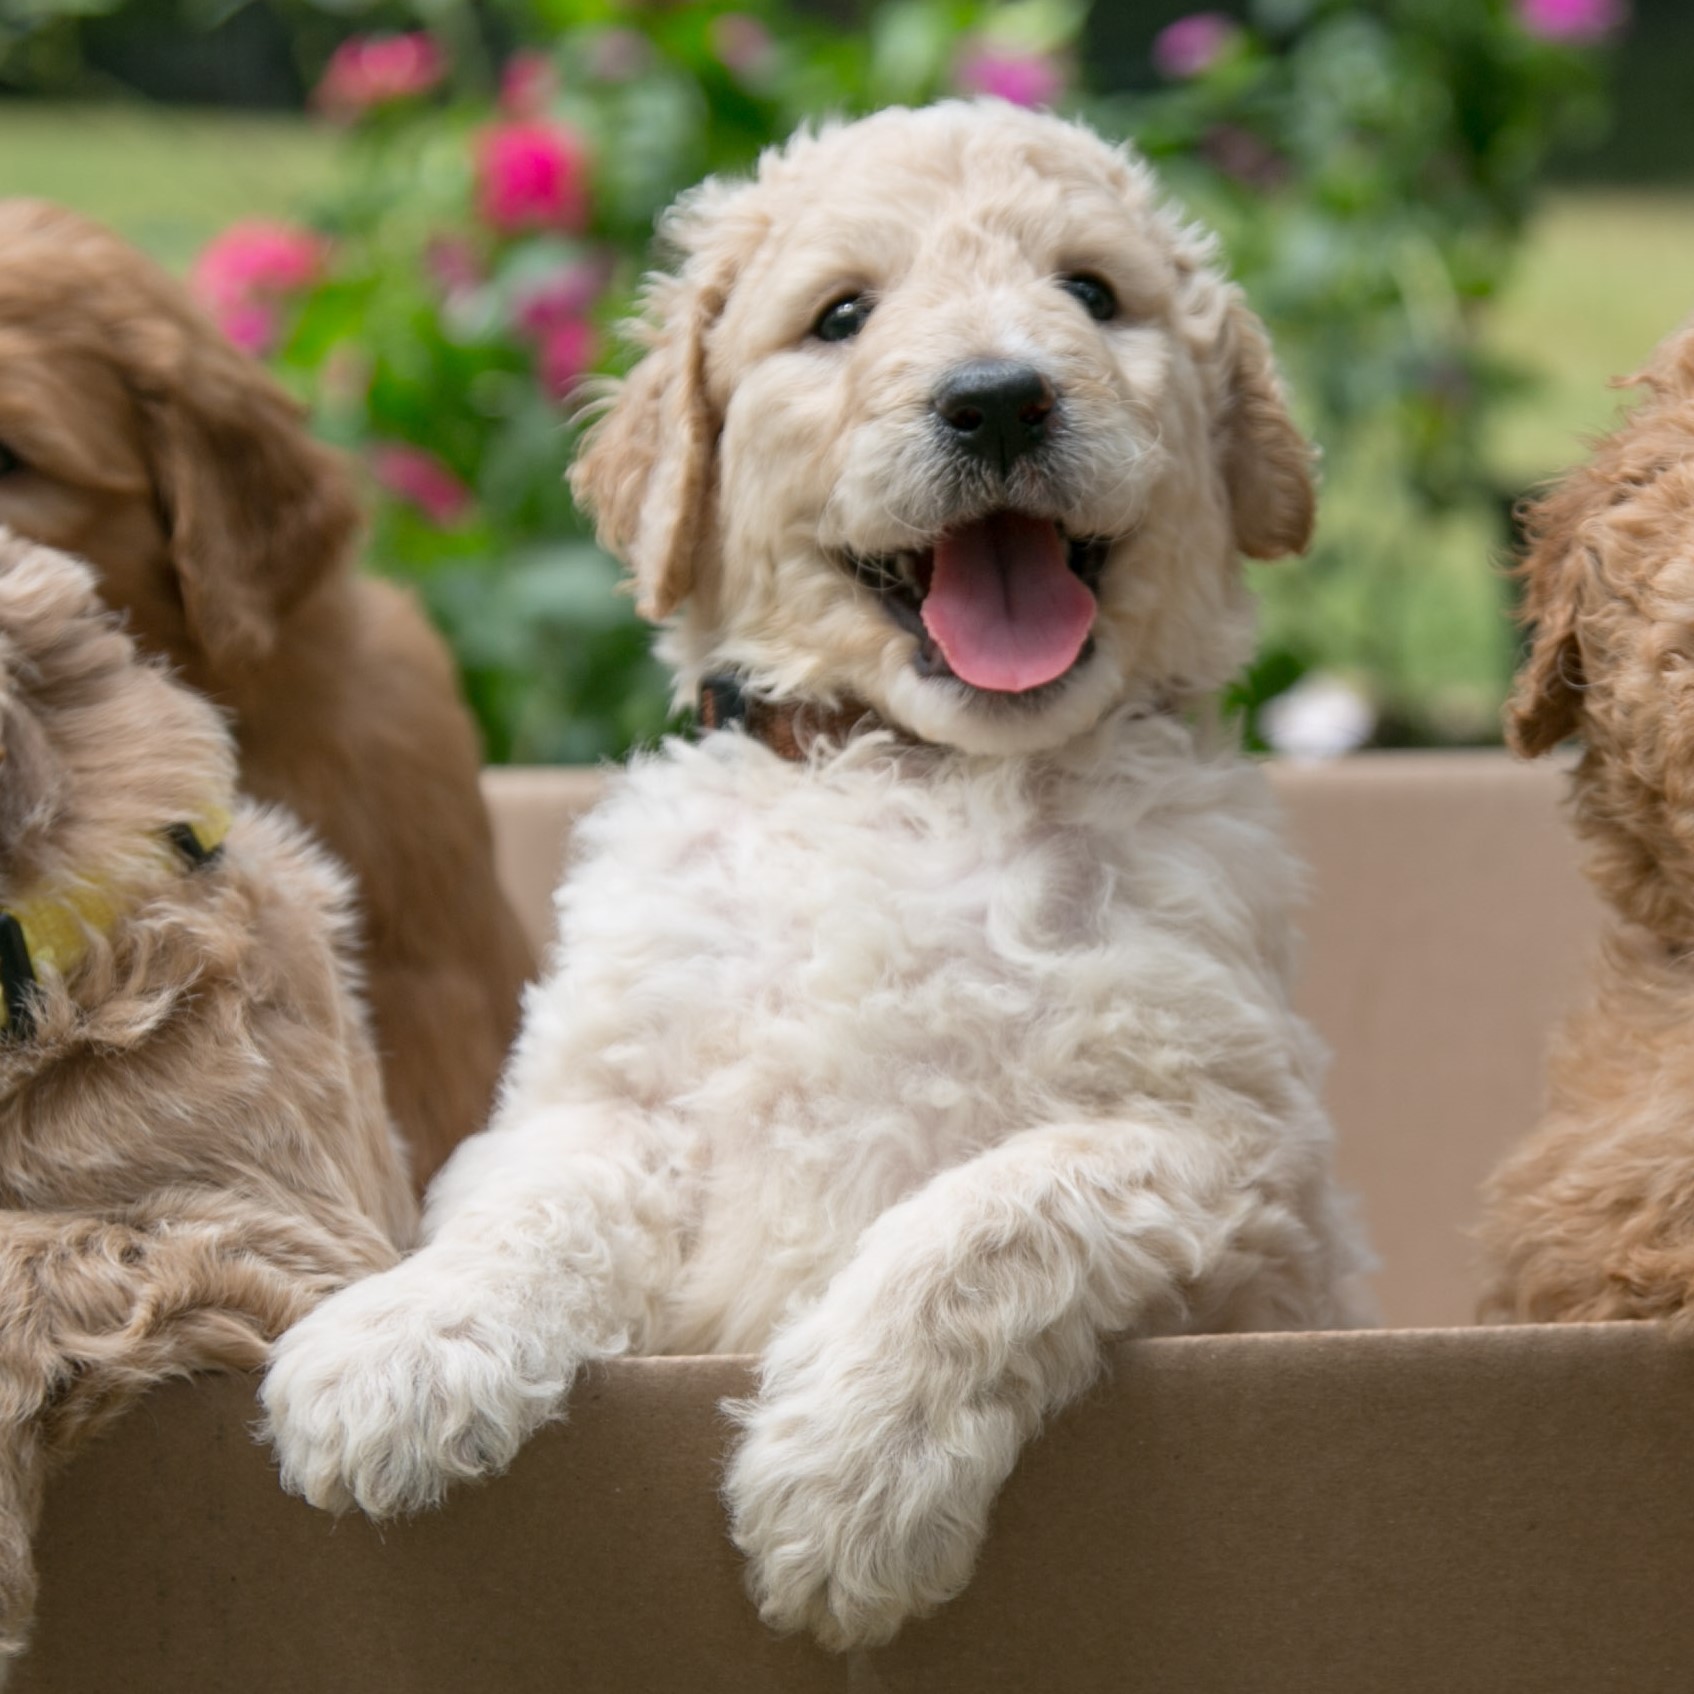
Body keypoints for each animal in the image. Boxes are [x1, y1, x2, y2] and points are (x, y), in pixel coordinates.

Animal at [267, 99, 1375, 1646]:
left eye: (1093, 292)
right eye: (840, 315)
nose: (998, 397)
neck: (920, 778)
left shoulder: (1241, 1154)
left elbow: (995, 1209)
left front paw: (852, 1485)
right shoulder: (604, 1086)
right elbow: (532, 1196)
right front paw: (400, 1345)